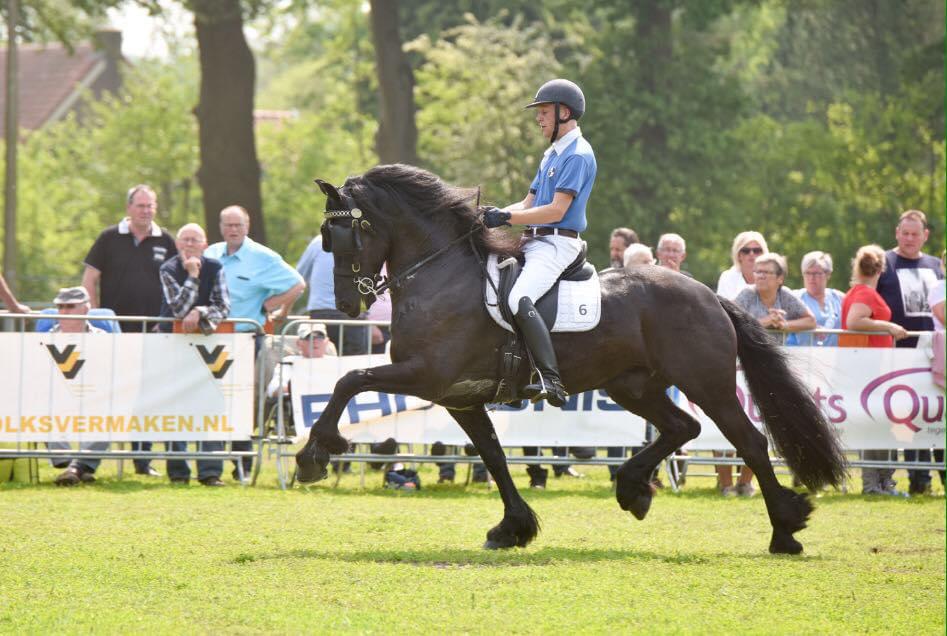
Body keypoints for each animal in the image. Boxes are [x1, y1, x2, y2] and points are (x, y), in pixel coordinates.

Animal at [296, 163, 847, 555]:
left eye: (341, 236)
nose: (345, 306)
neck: (441, 274)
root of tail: (709, 294)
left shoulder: (427, 376)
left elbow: (350, 379)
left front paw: (314, 455)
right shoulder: (460, 398)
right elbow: (493, 456)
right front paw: (513, 528)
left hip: (705, 383)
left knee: (749, 441)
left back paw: (785, 530)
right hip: (633, 385)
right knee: (682, 427)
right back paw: (633, 488)